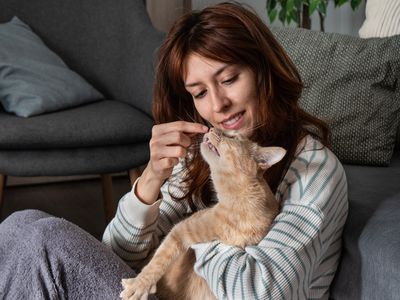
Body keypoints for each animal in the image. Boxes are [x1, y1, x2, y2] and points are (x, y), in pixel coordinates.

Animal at [120, 127, 286, 300]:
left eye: (234, 136)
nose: (212, 128)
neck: (240, 206)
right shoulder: (180, 230)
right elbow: (157, 261)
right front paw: (139, 284)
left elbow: (159, 258)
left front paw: (139, 285)